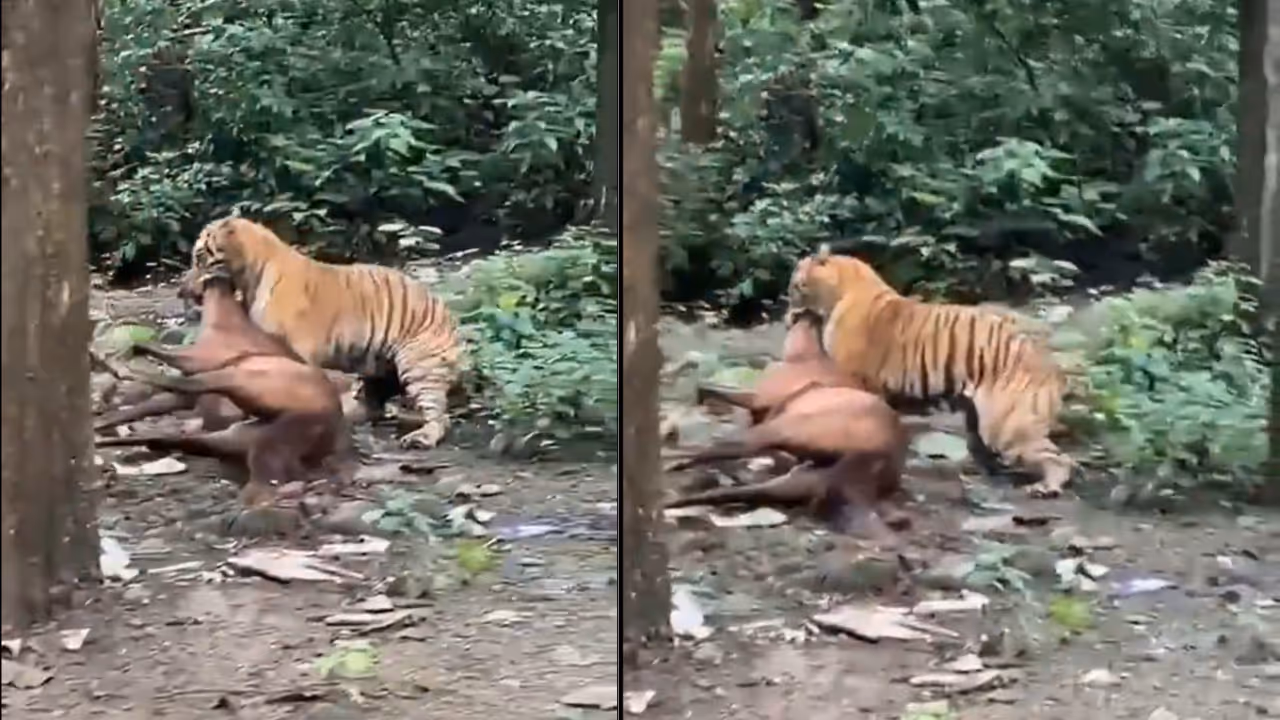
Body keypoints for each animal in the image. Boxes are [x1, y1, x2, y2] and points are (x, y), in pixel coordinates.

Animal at [182, 216, 462, 450]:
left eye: (199, 256)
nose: (182, 289)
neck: (249, 278)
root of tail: (448, 314)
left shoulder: (294, 352)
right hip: (377, 368)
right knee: (373, 403)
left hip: (419, 366)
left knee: (440, 415)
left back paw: (422, 438)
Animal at [785, 243, 1075, 498]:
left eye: (797, 283)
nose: (787, 306)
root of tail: (1053, 367)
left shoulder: (855, 376)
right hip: (980, 423)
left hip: (1006, 425)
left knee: (1060, 459)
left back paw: (1046, 487)